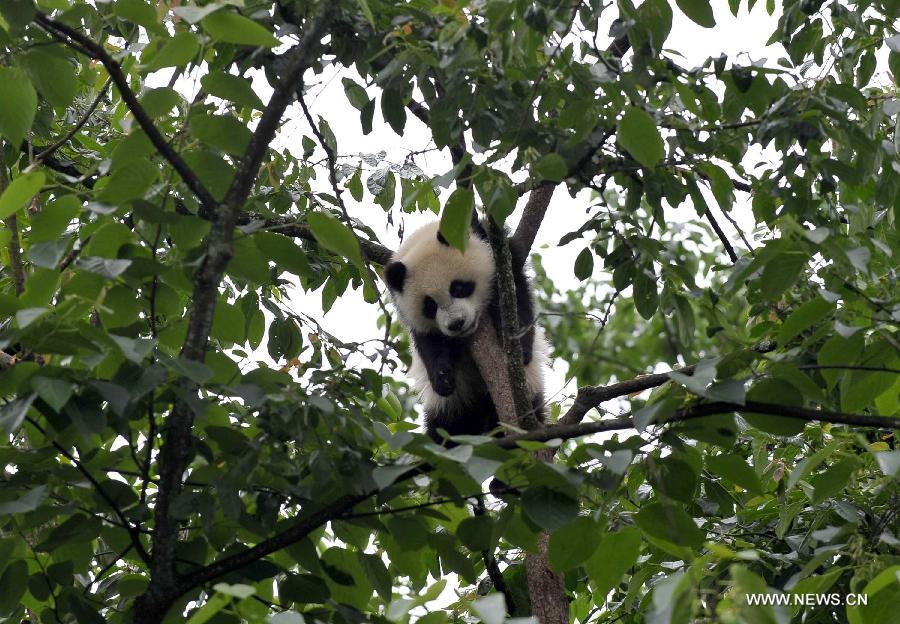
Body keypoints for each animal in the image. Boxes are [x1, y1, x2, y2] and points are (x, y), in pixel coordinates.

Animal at [384, 220, 547, 442]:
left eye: (458, 288)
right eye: (430, 305)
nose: (456, 324)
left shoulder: (500, 255)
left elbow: (517, 299)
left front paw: (520, 349)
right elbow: (429, 342)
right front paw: (443, 377)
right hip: (454, 405)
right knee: (448, 428)